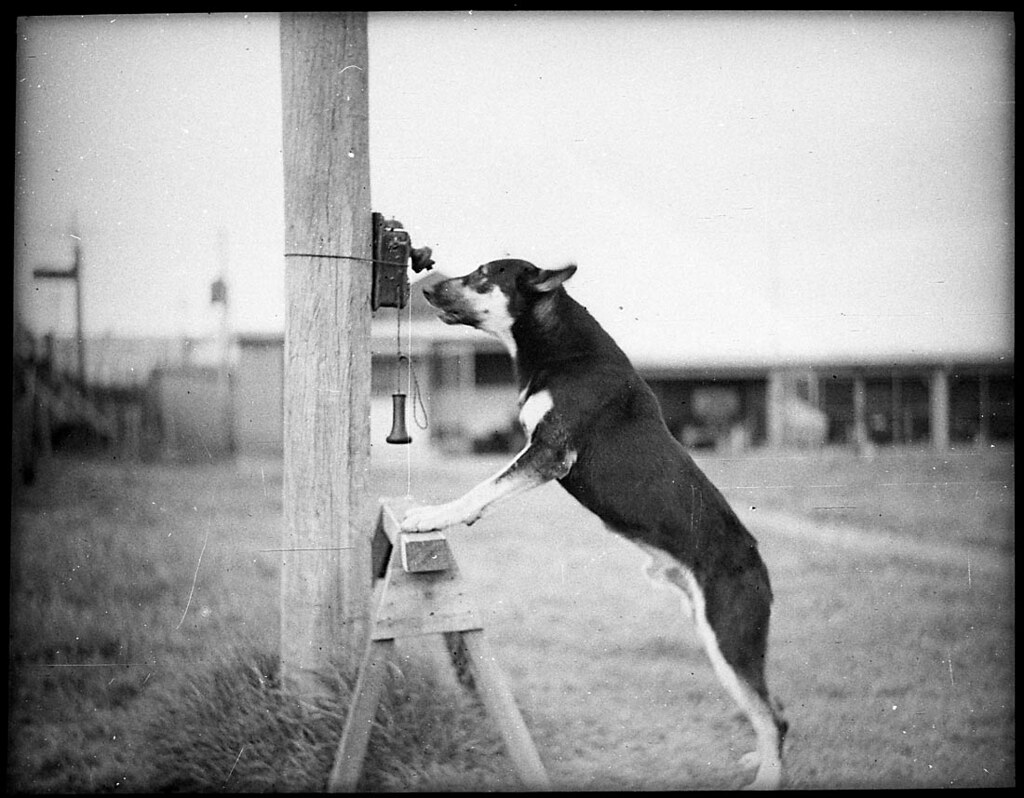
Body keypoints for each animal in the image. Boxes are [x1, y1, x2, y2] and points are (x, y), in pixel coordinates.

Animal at [403, 259, 786, 790]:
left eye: (483, 275)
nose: (426, 288)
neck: (562, 348)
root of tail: (758, 562)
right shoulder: (536, 453)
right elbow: (488, 488)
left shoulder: (548, 454)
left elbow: (484, 486)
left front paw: (433, 515)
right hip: (717, 640)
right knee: (771, 708)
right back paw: (757, 759)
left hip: (730, 639)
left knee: (775, 717)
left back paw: (767, 775)